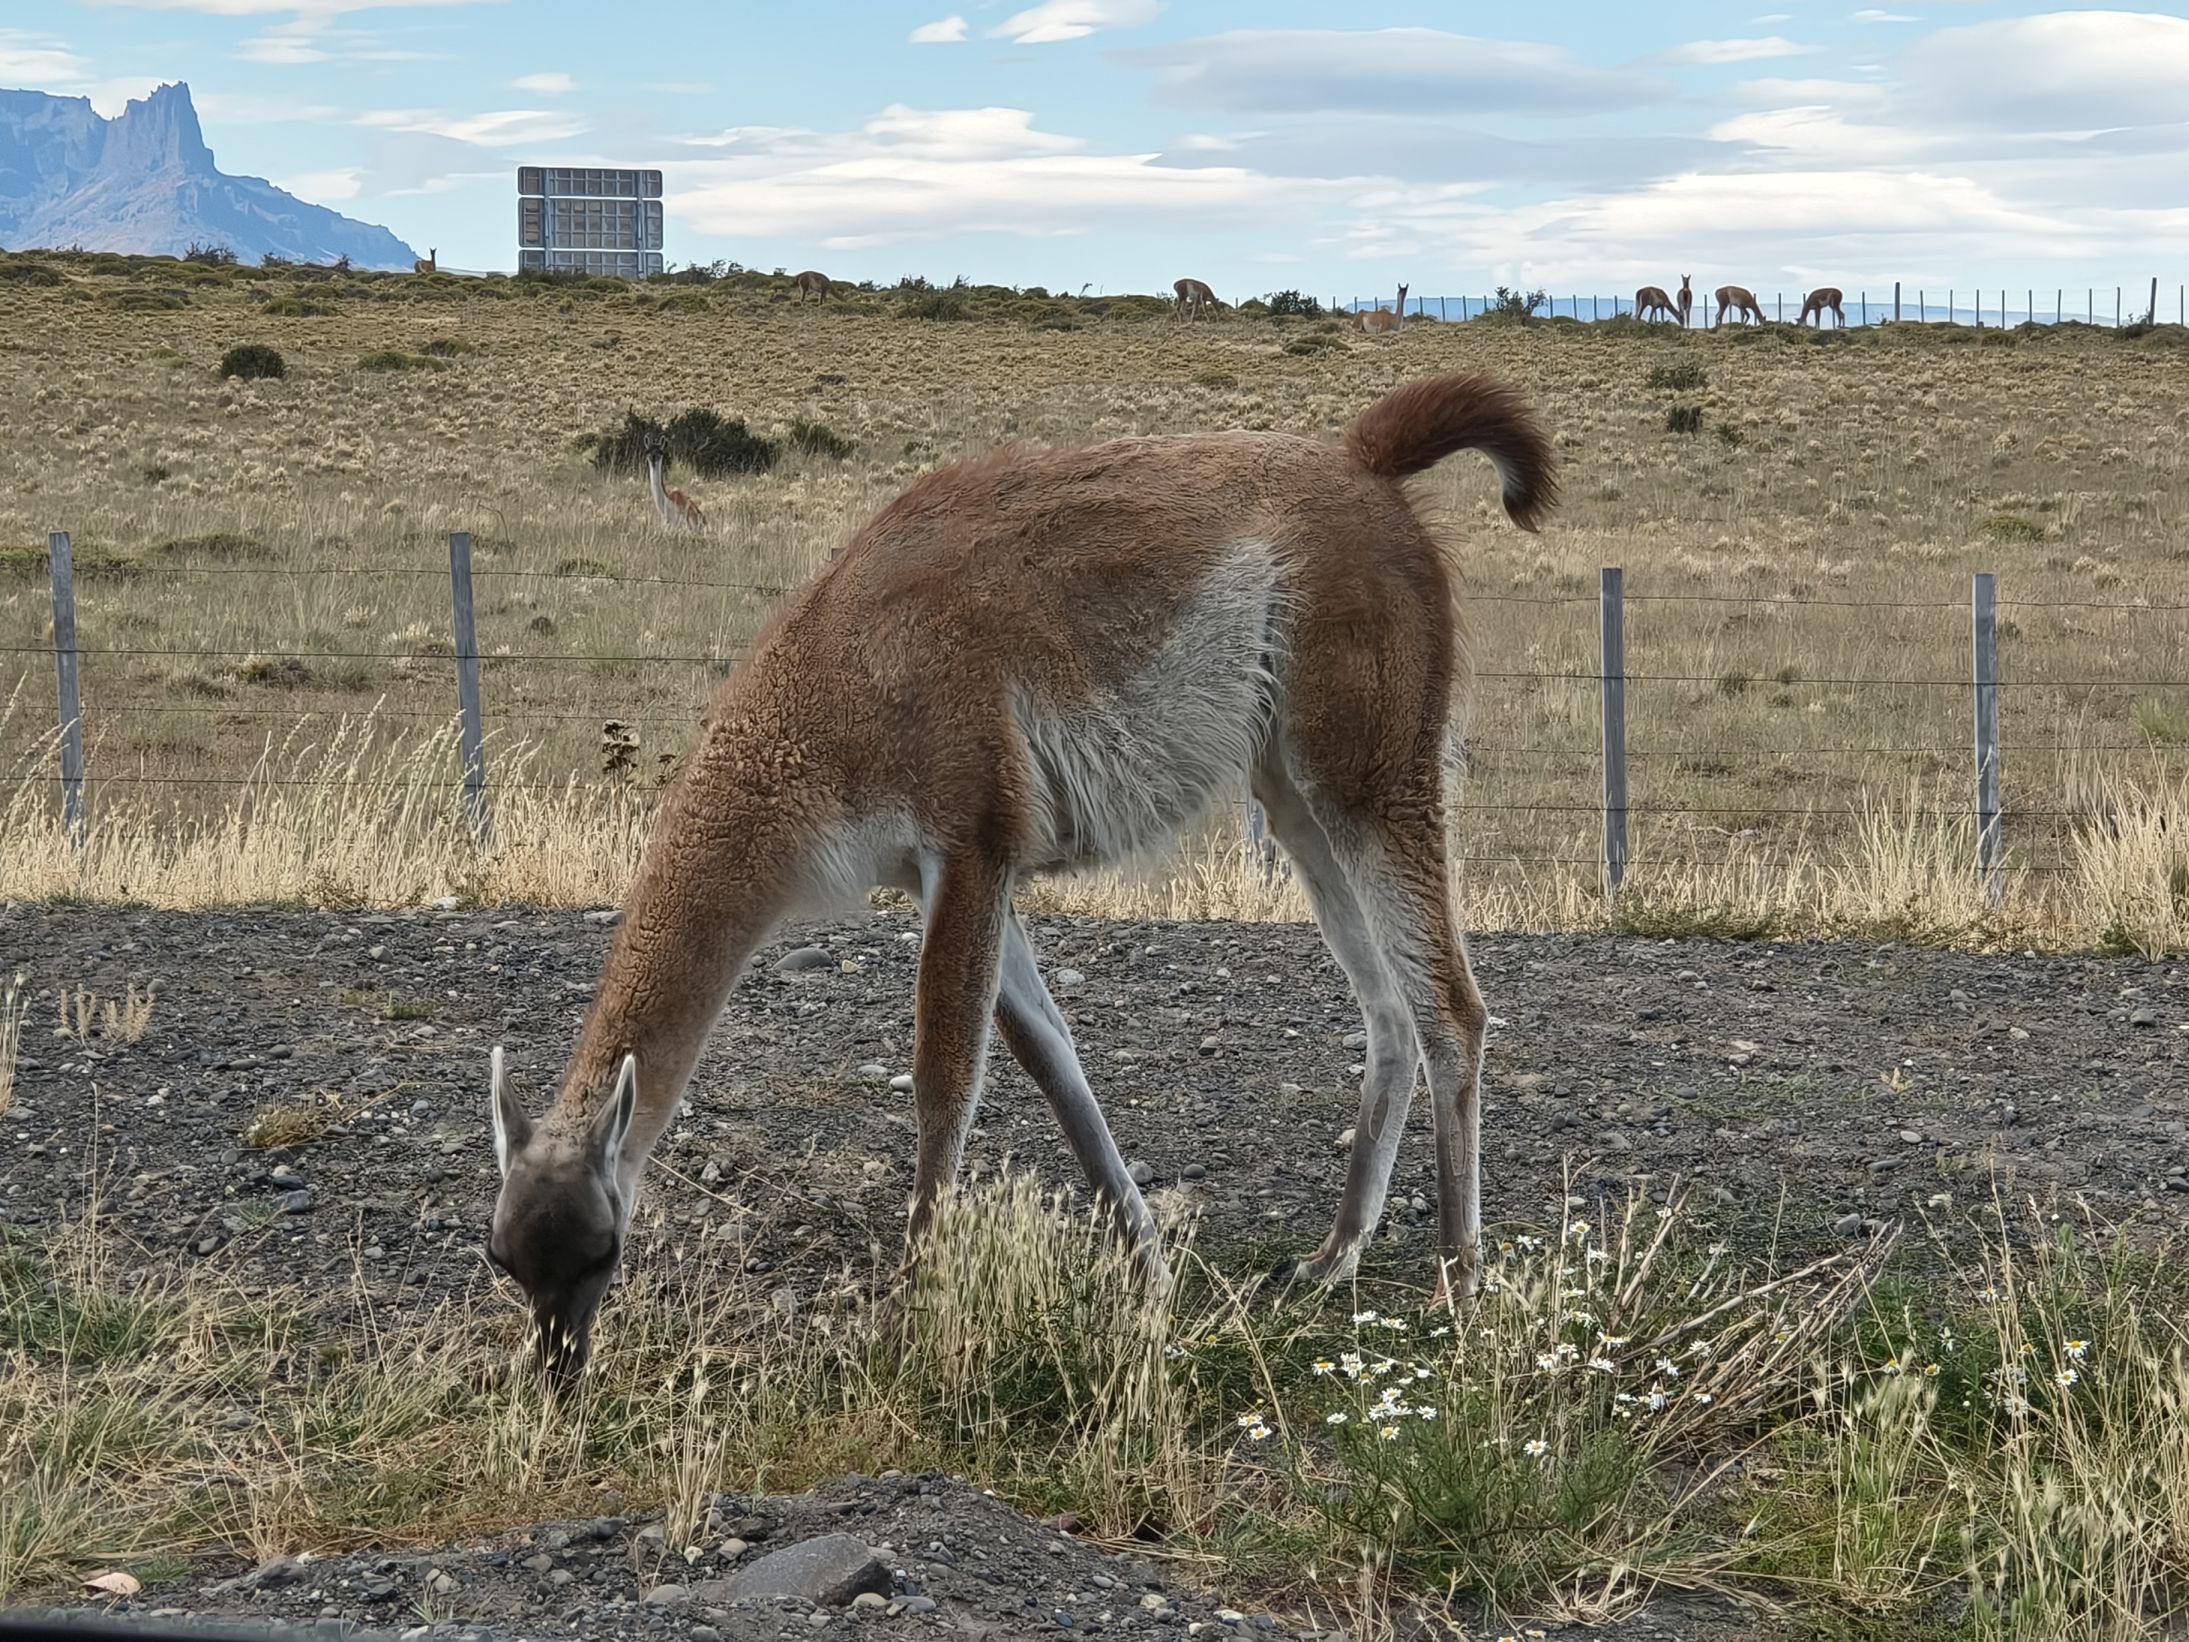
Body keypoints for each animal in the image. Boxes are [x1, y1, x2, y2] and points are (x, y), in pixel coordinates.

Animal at [484, 372, 1559, 1389]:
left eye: (600, 1250)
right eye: (504, 1259)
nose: (558, 1372)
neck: (830, 693)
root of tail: (1360, 461)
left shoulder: (970, 833)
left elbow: (944, 1078)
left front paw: (913, 1305)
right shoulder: (946, 870)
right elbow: (1051, 1058)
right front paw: (1147, 1269)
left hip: (1370, 762)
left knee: (1450, 1008)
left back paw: (1457, 1280)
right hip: (1291, 789)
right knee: (1386, 1012)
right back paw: (1335, 1256)